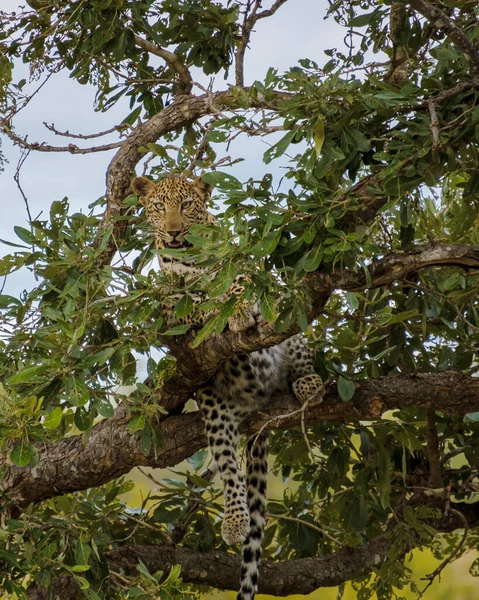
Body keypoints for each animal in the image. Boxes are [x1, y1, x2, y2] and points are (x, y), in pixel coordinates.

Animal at [131, 176, 326, 600]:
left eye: (187, 205)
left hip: (289, 331)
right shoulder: (173, 307)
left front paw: (237, 308)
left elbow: (238, 283)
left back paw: (308, 383)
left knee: (295, 341)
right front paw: (223, 311)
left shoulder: (243, 269)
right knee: (229, 467)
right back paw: (235, 522)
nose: (173, 232)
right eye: (159, 207)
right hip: (214, 405)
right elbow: (198, 305)